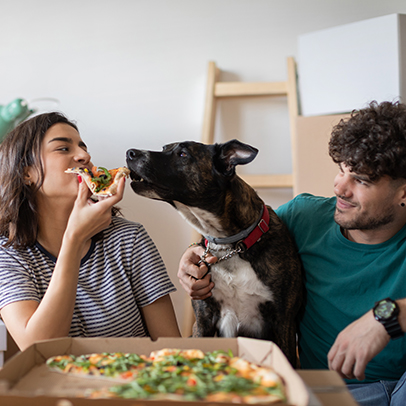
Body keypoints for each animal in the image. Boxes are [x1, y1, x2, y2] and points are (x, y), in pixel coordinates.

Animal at [125, 140, 302, 368]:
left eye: (183, 154)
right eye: (164, 148)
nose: (130, 152)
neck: (230, 245)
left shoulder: (283, 321)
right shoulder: (203, 319)